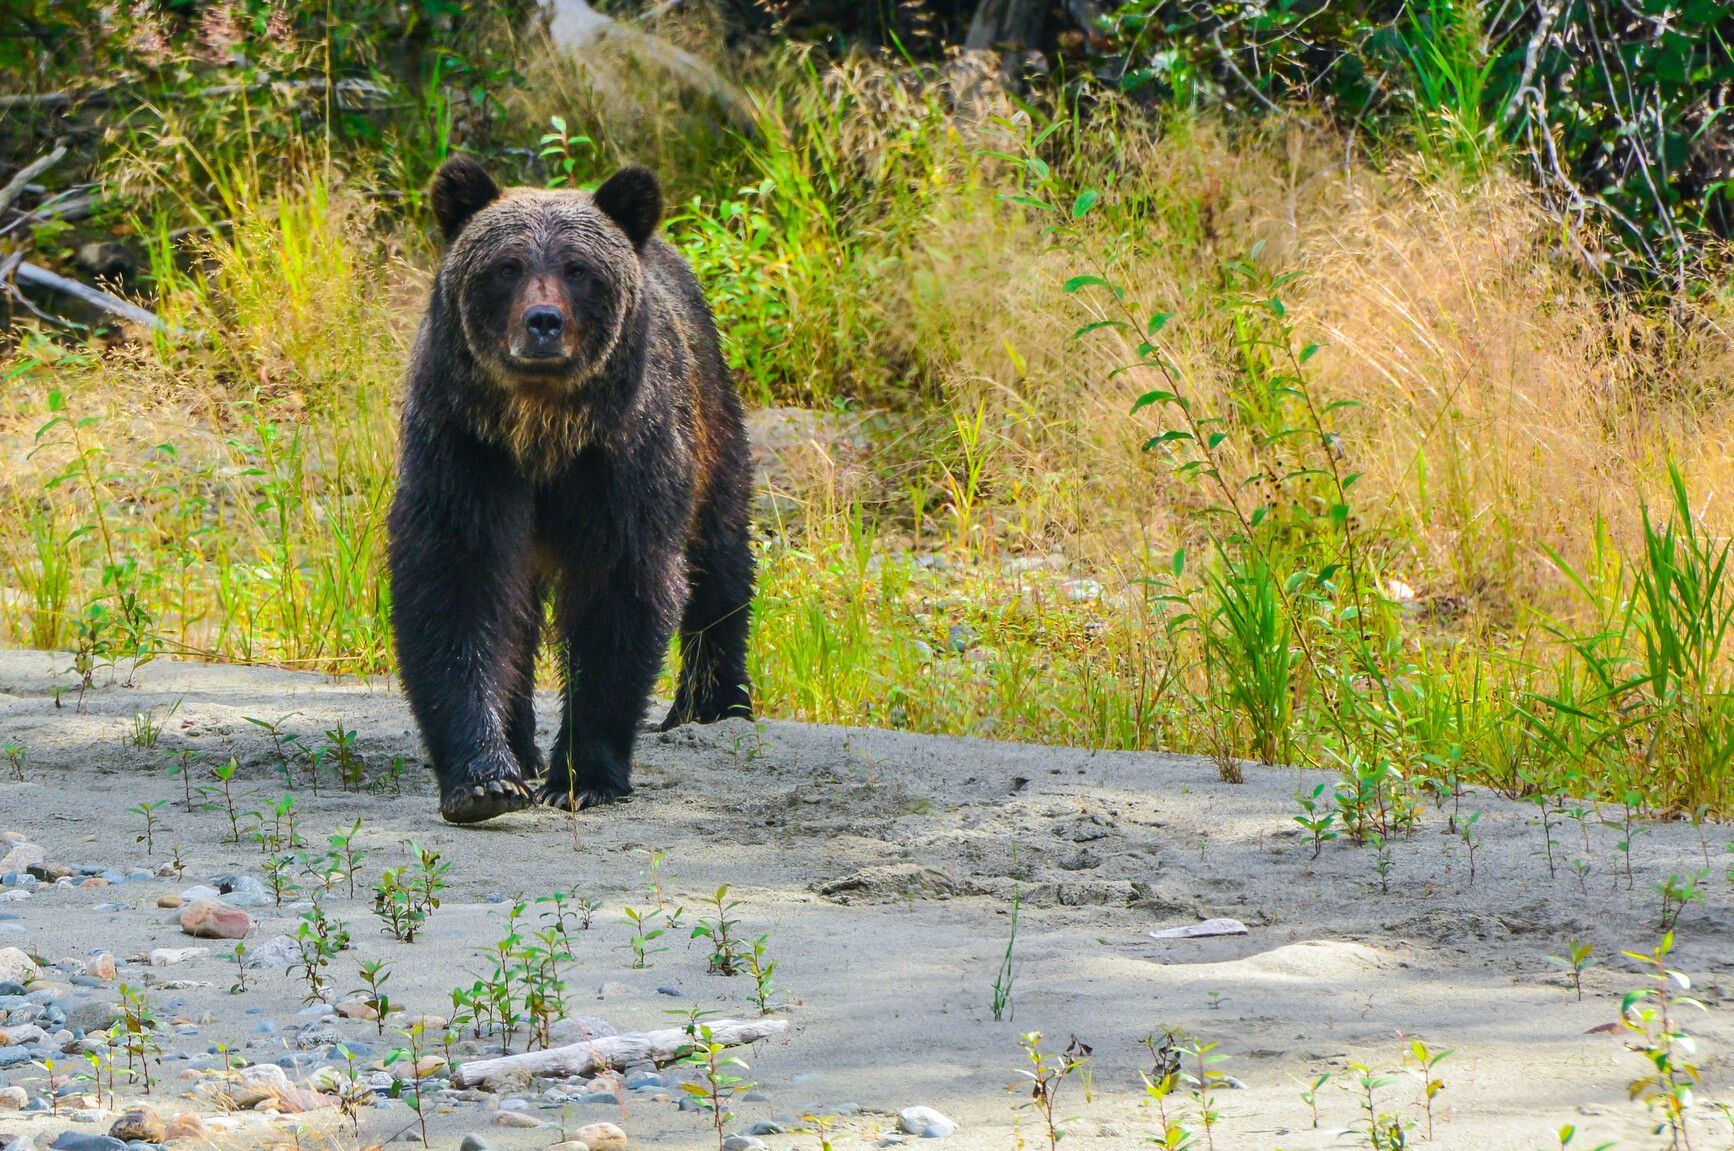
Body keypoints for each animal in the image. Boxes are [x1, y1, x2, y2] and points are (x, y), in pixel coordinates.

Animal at [388, 156, 755, 825]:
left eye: (578, 269)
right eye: (507, 266)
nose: (543, 323)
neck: (542, 433)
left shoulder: (622, 459)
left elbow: (620, 592)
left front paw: (583, 776)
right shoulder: (465, 451)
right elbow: (455, 584)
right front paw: (484, 780)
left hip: (710, 416)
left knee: (718, 557)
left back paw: (712, 705)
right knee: (517, 613)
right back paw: (520, 744)